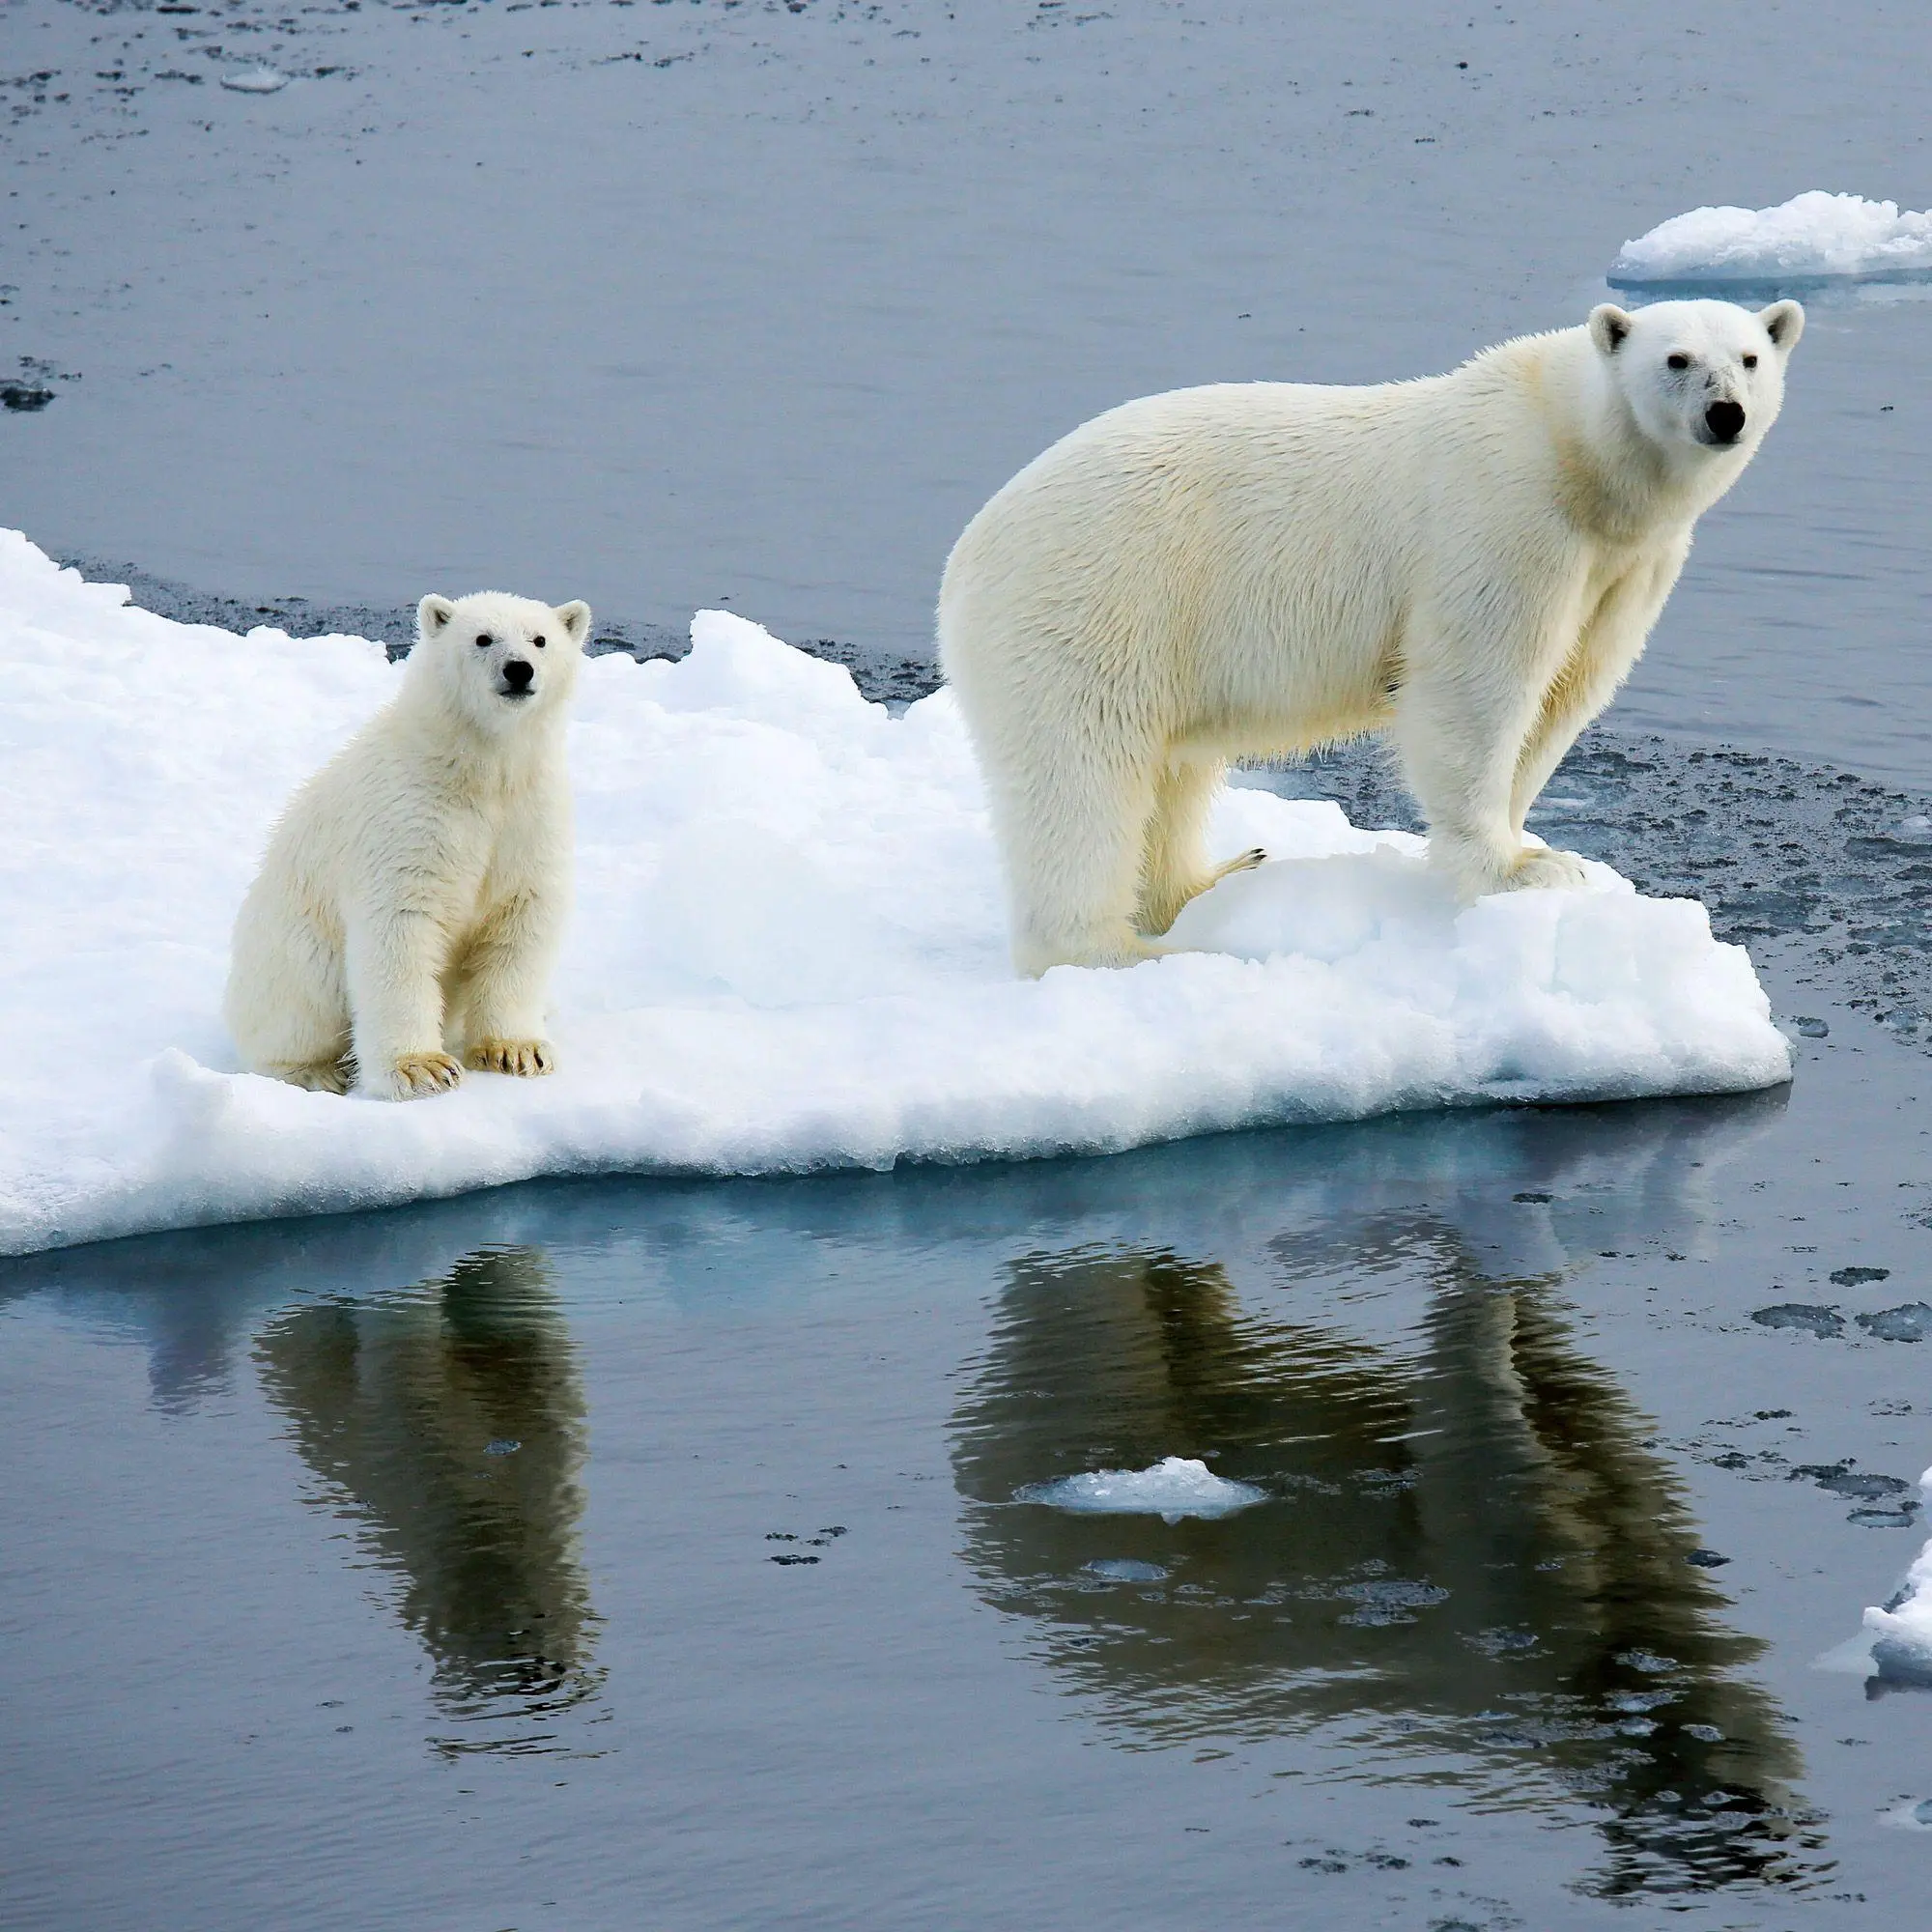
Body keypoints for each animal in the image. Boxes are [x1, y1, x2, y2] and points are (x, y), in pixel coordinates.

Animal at [224, 590, 591, 1099]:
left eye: (539, 639)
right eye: (483, 638)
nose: (519, 669)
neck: (476, 769)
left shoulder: (528, 817)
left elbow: (520, 919)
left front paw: (517, 1051)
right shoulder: (409, 815)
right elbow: (402, 926)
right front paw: (422, 1068)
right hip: (291, 952)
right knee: (295, 1010)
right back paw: (317, 1071)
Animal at [937, 297, 1804, 975]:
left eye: (1751, 357)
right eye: (1677, 358)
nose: (1725, 413)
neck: (1579, 458)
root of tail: (965, 556)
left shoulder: (1626, 567)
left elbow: (1566, 695)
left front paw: (1529, 841)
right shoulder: (1506, 520)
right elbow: (1475, 689)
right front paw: (1522, 869)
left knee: (1172, 772)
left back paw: (1216, 876)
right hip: (1094, 604)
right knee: (1083, 774)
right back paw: (1124, 950)